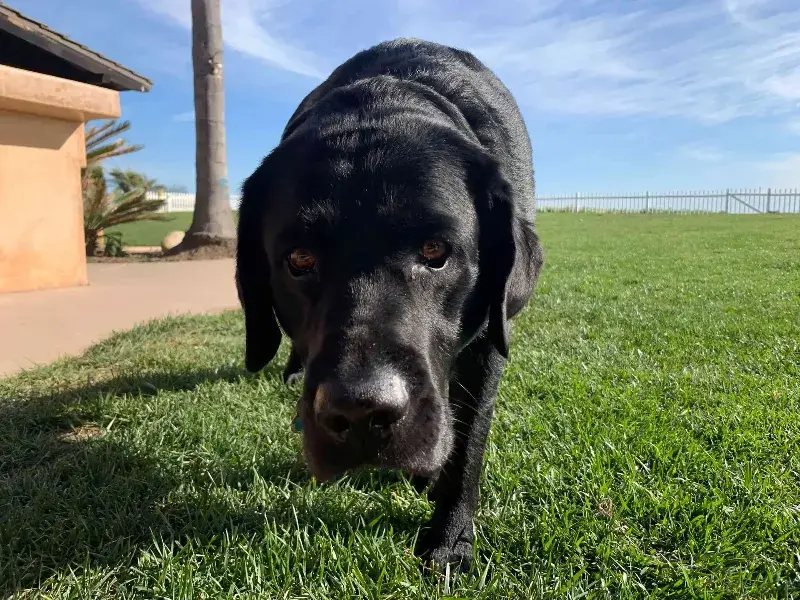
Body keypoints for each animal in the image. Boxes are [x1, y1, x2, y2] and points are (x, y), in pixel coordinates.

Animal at [234, 37, 540, 572]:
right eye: (299, 259)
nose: (360, 413)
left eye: (436, 251)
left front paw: (449, 541)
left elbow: (468, 446)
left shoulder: (489, 346)